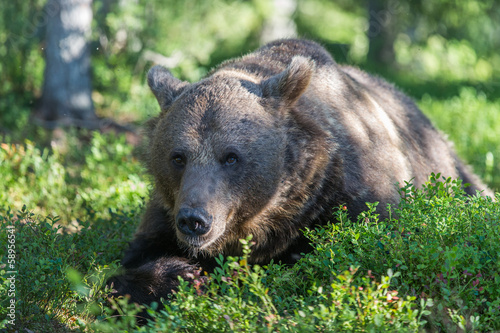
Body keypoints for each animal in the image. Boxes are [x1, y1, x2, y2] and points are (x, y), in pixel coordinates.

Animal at [107, 37, 490, 304]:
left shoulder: (354, 191)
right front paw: (177, 274)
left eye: (230, 157)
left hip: (450, 170)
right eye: (178, 157)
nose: (194, 220)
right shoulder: (164, 212)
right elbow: (128, 265)